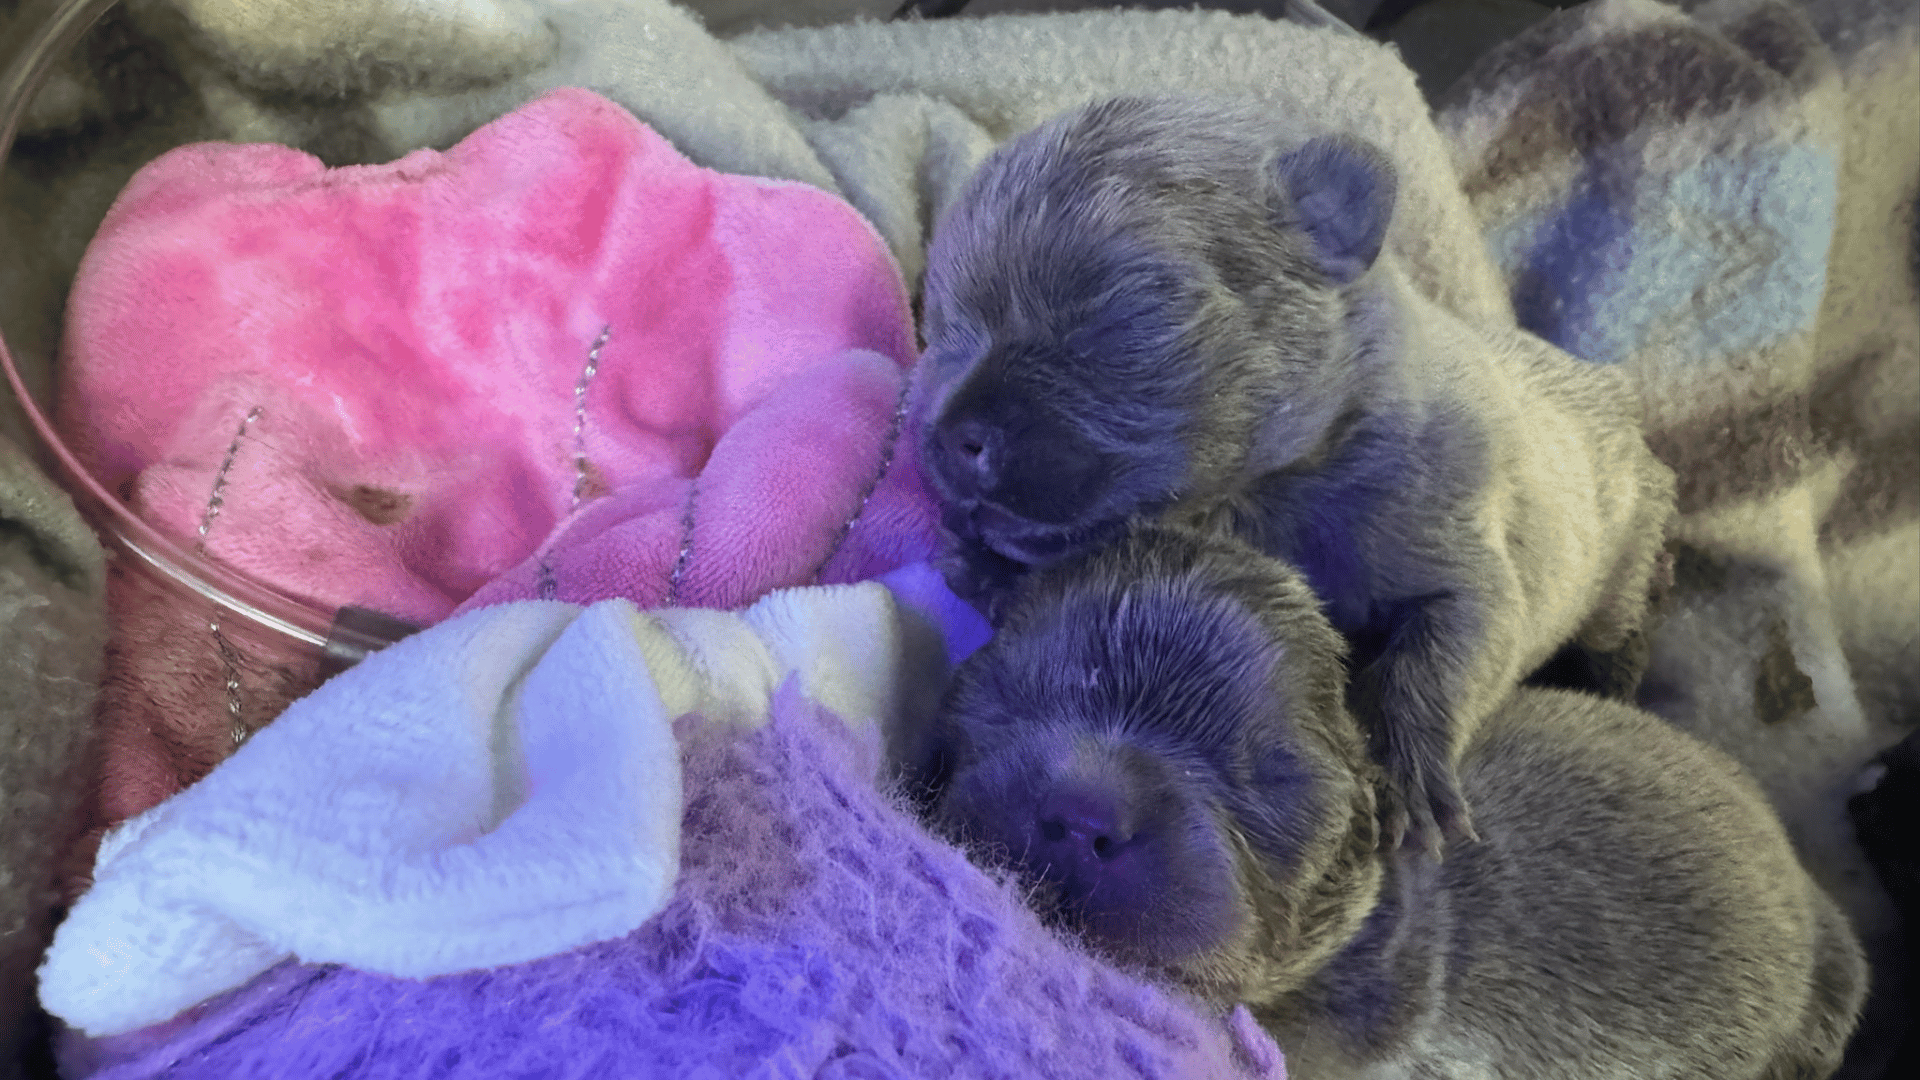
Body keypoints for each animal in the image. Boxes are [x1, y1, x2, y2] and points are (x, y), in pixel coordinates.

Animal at [906, 94, 1674, 849]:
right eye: (944, 329)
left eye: (1116, 319)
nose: (949, 437)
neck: (1268, 491)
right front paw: (985, 567)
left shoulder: (1466, 569)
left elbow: (1434, 663)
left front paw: (1410, 776)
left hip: (1621, 556)